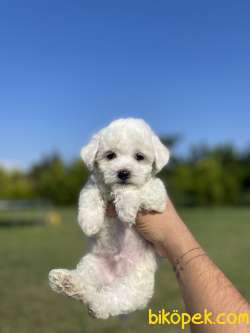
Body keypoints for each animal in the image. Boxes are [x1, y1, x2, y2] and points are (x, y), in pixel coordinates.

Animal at [48, 118, 170, 318]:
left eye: (139, 157)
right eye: (110, 155)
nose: (123, 172)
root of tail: (111, 279)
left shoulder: (157, 195)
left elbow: (134, 190)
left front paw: (126, 209)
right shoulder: (93, 184)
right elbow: (89, 194)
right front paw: (89, 222)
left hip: (132, 288)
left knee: (109, 300)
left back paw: (95, 305)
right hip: (91, 265)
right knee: (85, 285)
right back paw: (67, 281)